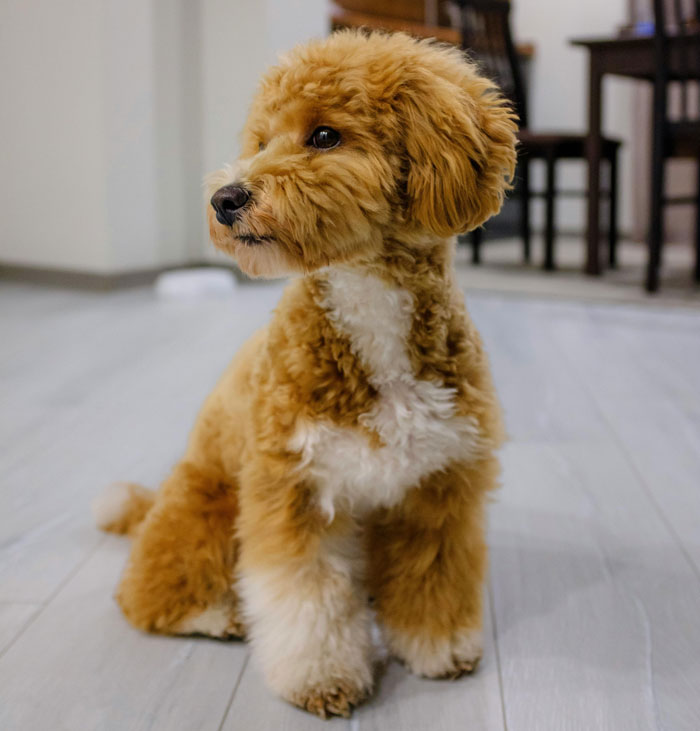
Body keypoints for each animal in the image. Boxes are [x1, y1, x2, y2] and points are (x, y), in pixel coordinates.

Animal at [93, 31, 516, 716]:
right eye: (261, 141)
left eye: (323, 135)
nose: (224, 199)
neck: (369, 304)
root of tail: (157, 500)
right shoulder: (292, 489)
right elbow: (307, 599)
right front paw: (322, 679)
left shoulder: (439, 488)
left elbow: (433, 576)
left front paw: (439, 647)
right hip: (204, 510)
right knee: (148, 592)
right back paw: (216, 614)